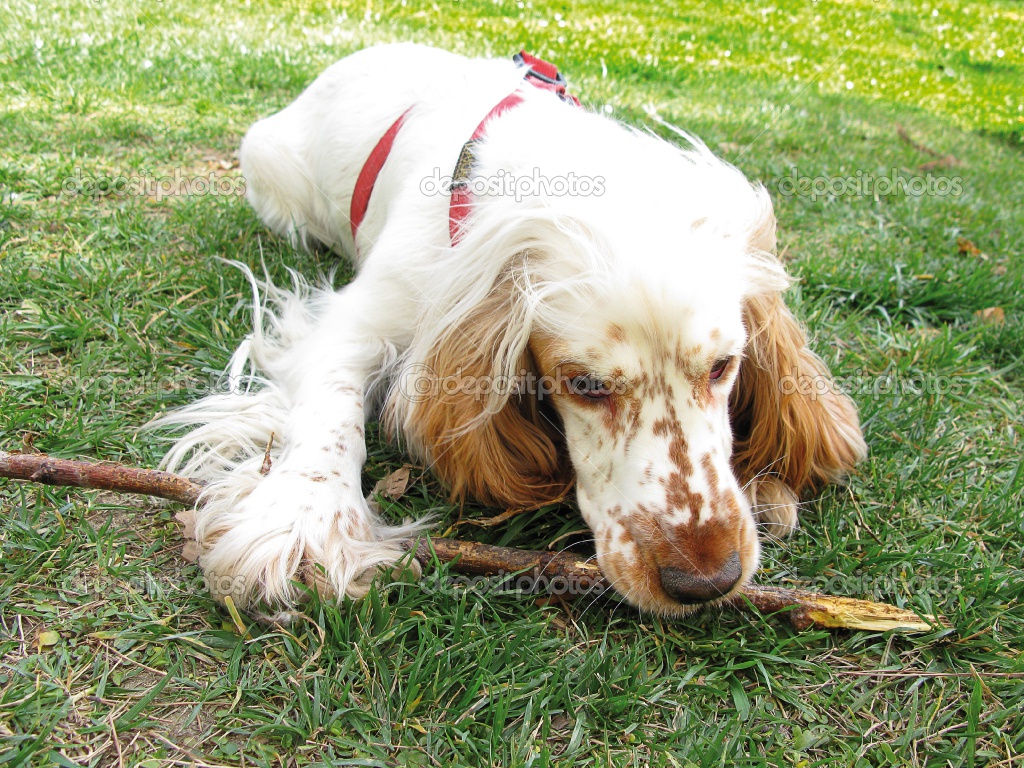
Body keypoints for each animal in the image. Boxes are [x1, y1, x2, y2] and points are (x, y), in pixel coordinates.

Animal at [157, 41, 864, 618]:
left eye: (722, 368)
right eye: (584, 385)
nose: (706, 581)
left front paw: (766, 482)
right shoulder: (358, 318)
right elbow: (330, 414)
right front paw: (304, 524)